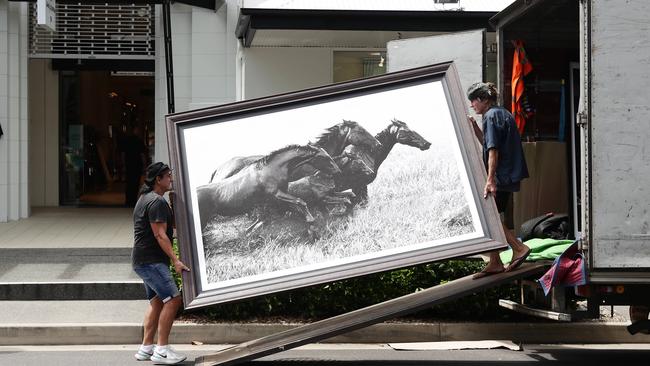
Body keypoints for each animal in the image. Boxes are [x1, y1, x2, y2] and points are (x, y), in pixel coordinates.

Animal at [196, 145, 340, 229]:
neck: (271, 169)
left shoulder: (280, 196)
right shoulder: (276, 194)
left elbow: (294, 206)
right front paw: (311, 220)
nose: (338, 171)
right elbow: (300, 201)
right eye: (326, 158)